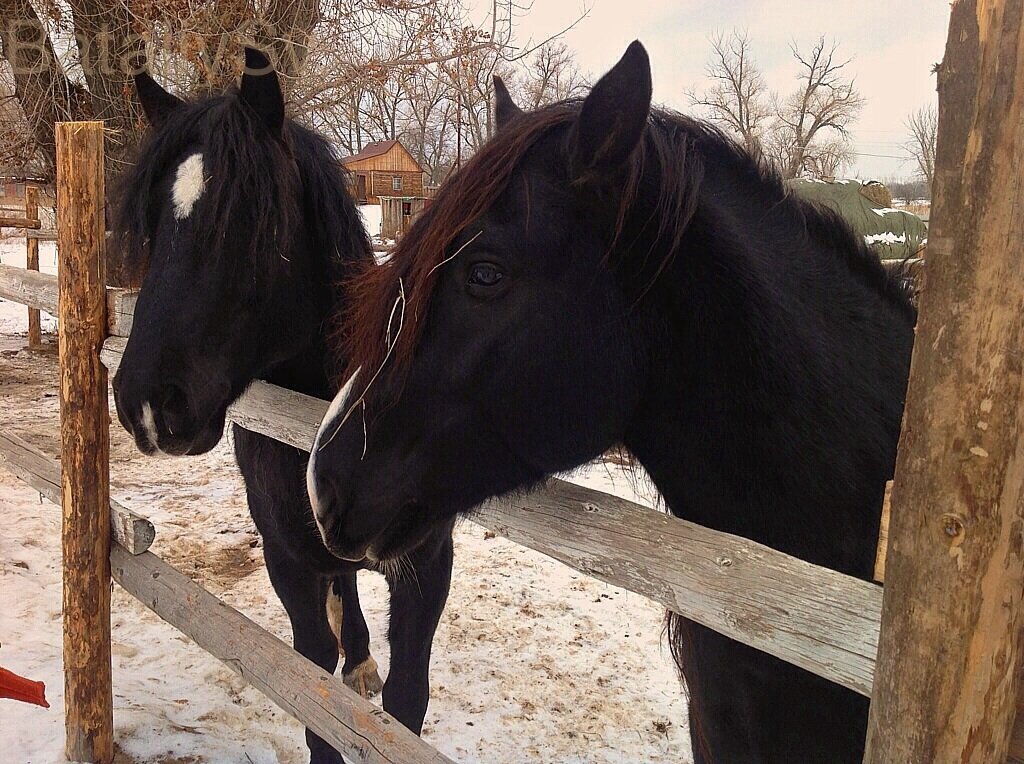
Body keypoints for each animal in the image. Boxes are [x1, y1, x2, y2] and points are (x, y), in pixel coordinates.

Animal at [109, 50, 456, 757]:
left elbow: (407, 706)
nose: (148, 406)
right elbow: (313, 694)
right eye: (152, 223)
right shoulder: (286, 558)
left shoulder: (426, 567)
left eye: (248, 221)